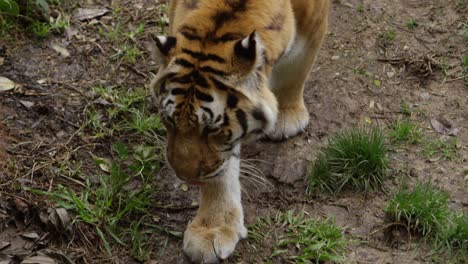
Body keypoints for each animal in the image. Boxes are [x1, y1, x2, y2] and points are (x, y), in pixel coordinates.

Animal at [148, 0, 328, 262]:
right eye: (169, 121)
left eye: (212, 129)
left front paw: (287, 114)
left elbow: (297, 68)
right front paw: (212, 230)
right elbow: (220, 173)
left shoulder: (312, 23)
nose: (185, 177)